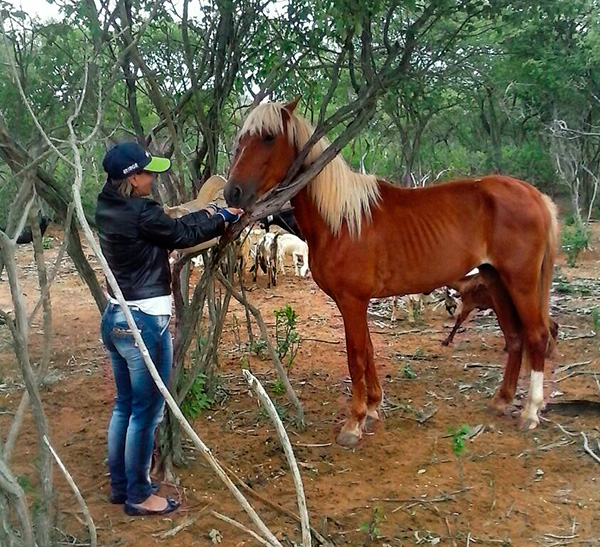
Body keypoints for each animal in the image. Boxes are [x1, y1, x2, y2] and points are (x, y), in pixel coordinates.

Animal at [225, 99, 556, 450]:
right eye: (242, 139)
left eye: (268, 137)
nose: (233, 193)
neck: (342, 221)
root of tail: (535, 196)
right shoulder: (356, 302)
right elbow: (369, 351)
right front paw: (373, 407)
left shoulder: (352, 300)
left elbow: (356, 356)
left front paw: (354, 423)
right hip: (495, 280)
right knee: (515, 337)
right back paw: (502, 401)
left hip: (521, 281)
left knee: (536, 335)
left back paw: (530, 411)